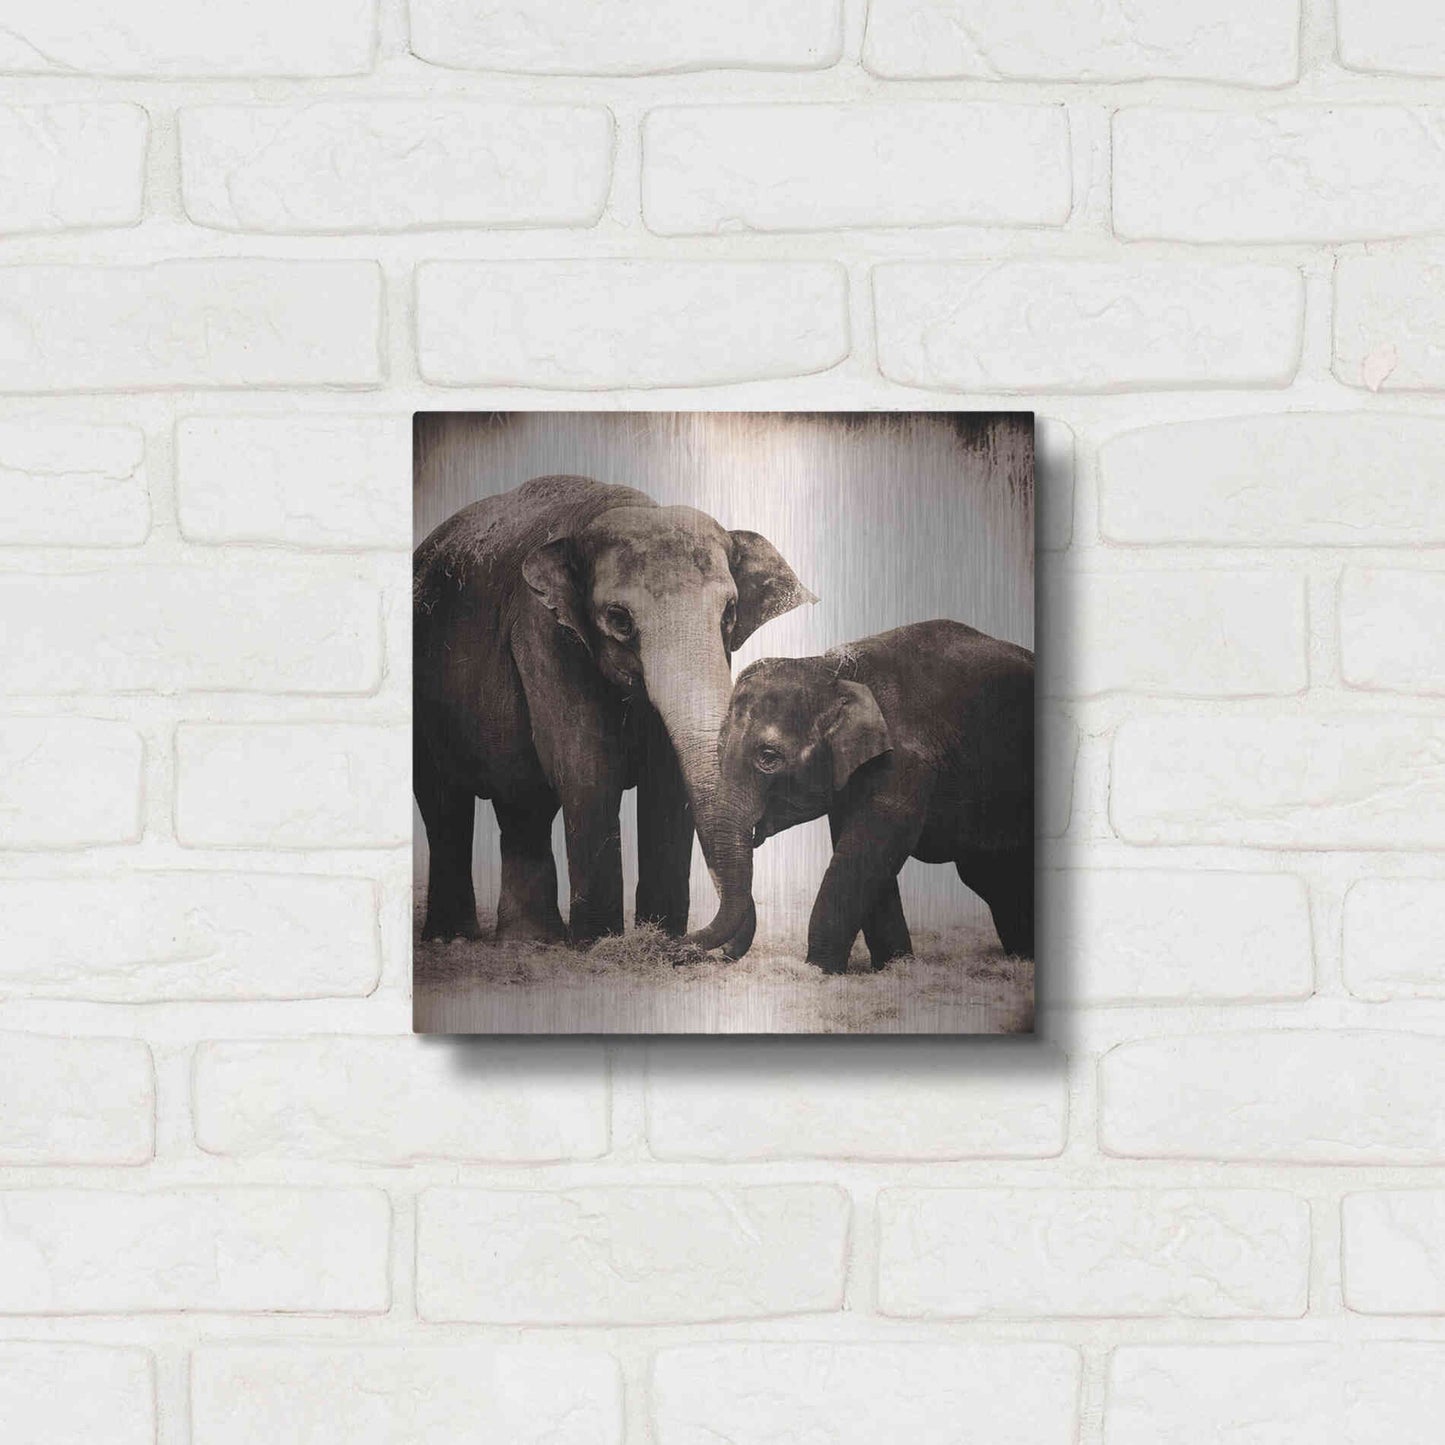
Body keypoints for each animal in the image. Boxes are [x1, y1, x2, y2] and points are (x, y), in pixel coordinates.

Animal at [413, 474, 814, 947]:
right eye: (620, 619)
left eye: (729, 612)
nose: (686, 941)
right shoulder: (544, 632)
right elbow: (588, 770)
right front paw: (598, 945)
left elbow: (669, 781)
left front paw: (658, 939)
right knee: (444, 804)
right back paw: (453, 939)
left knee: (522, 803)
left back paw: (531, 941)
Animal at [692, 619, 1034, 972]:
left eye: (769, 757)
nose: (690, 949)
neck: (834, 671)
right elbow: (860, 846)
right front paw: (893, 967)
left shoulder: (904, 760)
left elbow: (872, 843)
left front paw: (819, 970)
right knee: (992, 878)